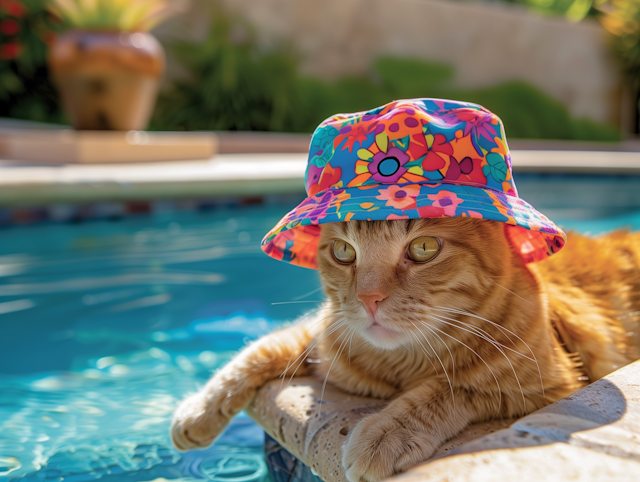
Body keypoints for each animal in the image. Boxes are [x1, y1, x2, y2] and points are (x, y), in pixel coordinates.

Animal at [170, 219, 640, 482]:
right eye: (343, 251)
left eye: (423, 248)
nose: (369, 299)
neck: (399, 361)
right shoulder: (322, 335)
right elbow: (259, 351)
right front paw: (199, 410)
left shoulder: (551, 387)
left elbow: (452, 387)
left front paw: (387, 432)